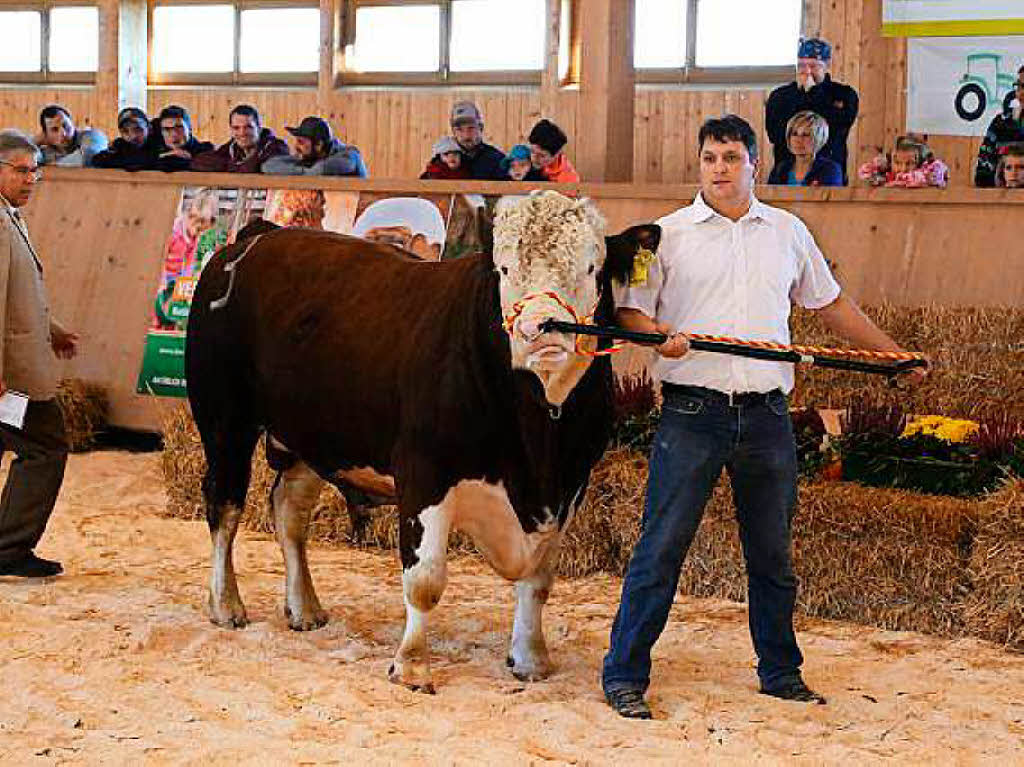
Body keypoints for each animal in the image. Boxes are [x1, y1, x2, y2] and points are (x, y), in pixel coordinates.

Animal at [187, 190, 659, 688]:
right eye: (504, 268)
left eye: (591, 268)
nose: (541, 327)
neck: (540, 437)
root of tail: (259, 236)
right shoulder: (424, 471)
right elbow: (426, 579)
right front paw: (412, 663)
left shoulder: (572, 485)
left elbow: (538, 580)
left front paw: (531, 657)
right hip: (224, 421)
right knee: (224, 506)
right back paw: (226, 603)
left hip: (310, 438)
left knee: (289, 512)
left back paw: (305, 607)